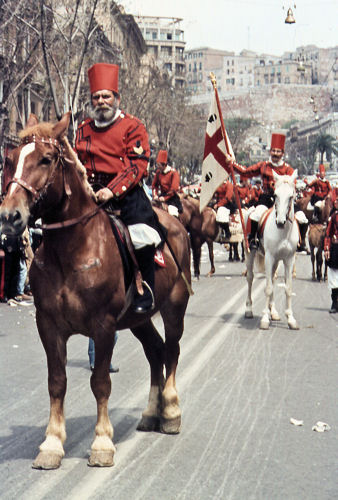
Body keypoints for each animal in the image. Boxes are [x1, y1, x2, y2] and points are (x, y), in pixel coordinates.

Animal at [0, 112, 190, 468]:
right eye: (10, 159)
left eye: (46, 159)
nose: (10, 216)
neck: (71, 249)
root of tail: (177, 225)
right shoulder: (48, 325)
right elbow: (57, 382)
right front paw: (51, 444)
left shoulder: (103, 325)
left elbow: (100, 382)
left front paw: (102, 442)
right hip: (138, 319)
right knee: (155, 351)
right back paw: (151, 412)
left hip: (175, 307)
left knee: (171, 350)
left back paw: (171, 411)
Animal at [244, 170, 300, 330]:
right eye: (275, 195)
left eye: (291, 196)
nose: (280, 222)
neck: (283, 233)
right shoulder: (269, 257)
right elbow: (268, 288)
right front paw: (264, 319)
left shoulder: (288, 259)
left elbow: (288, 288)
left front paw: (290, 318)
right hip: (250, 254)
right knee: (250, 278)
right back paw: (249, 309)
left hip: (276, 261)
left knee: (273, 278)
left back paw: (273, 311)